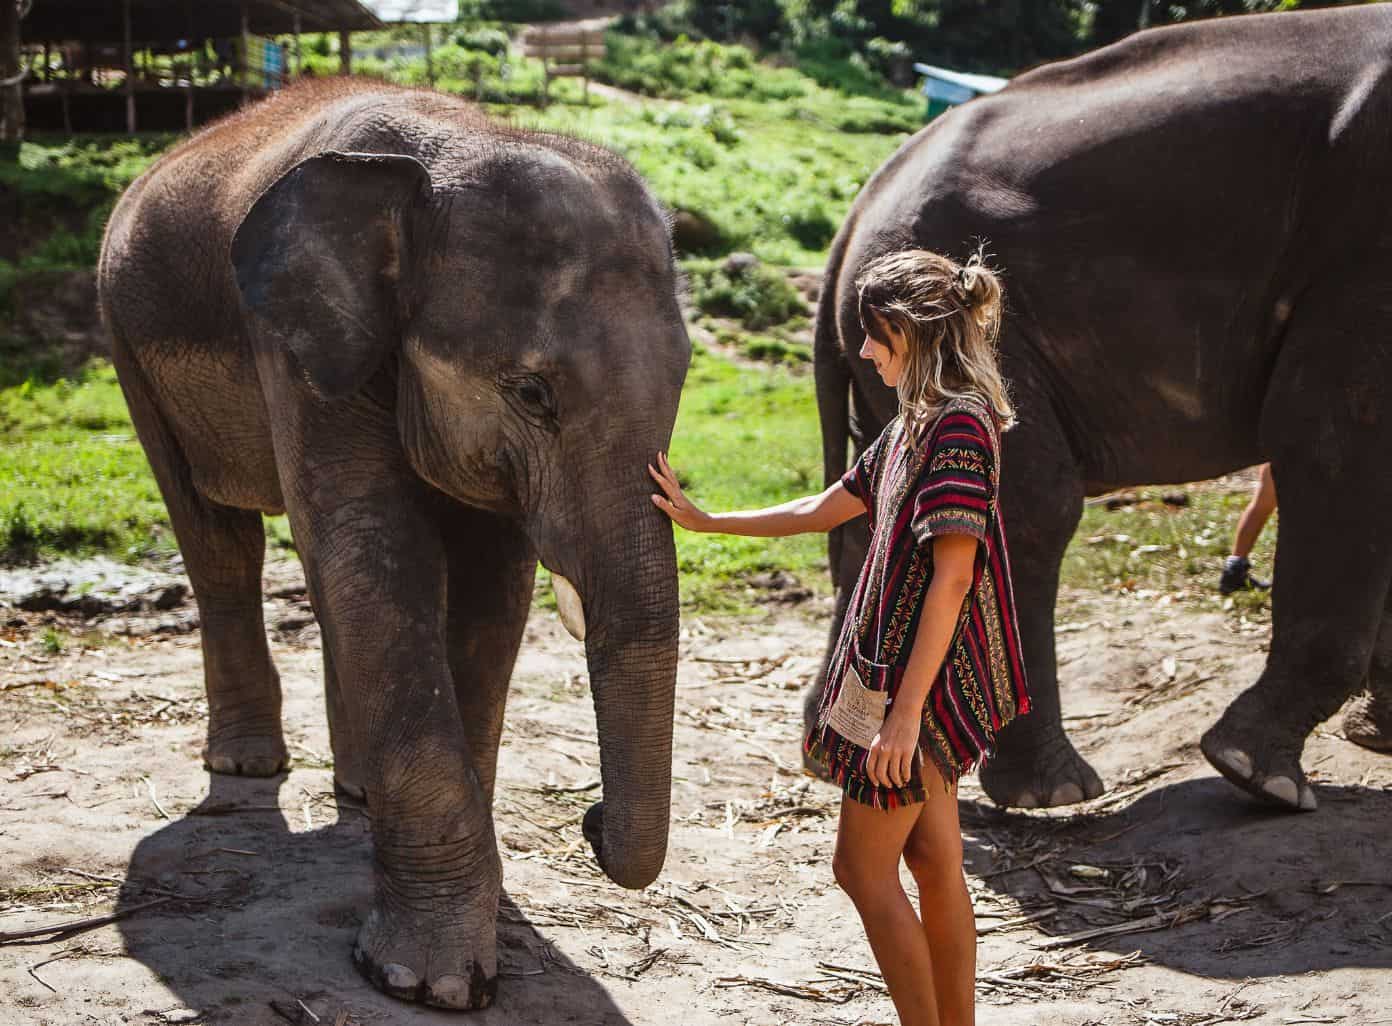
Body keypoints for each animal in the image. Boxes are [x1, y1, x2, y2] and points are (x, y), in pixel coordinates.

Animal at [95, 80, 687, 1007]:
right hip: (126, 340)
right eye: (532, 393)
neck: (454, 146)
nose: (590, 821)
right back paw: (246, 764)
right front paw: (429, 983)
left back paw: (357, 789)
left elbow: (488, 585)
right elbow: (377, 545)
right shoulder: (296, 343)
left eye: (685, 381)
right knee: (219, 541)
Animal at [812, 4, 1392, 813]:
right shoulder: (1363, 255)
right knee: (1029, 507)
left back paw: (838, 758)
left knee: (878, 517)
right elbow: (1333, 439)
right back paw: (1053, 791)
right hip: (986, 332)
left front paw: (1374, 737)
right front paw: (1263, 778)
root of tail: (858, 210)